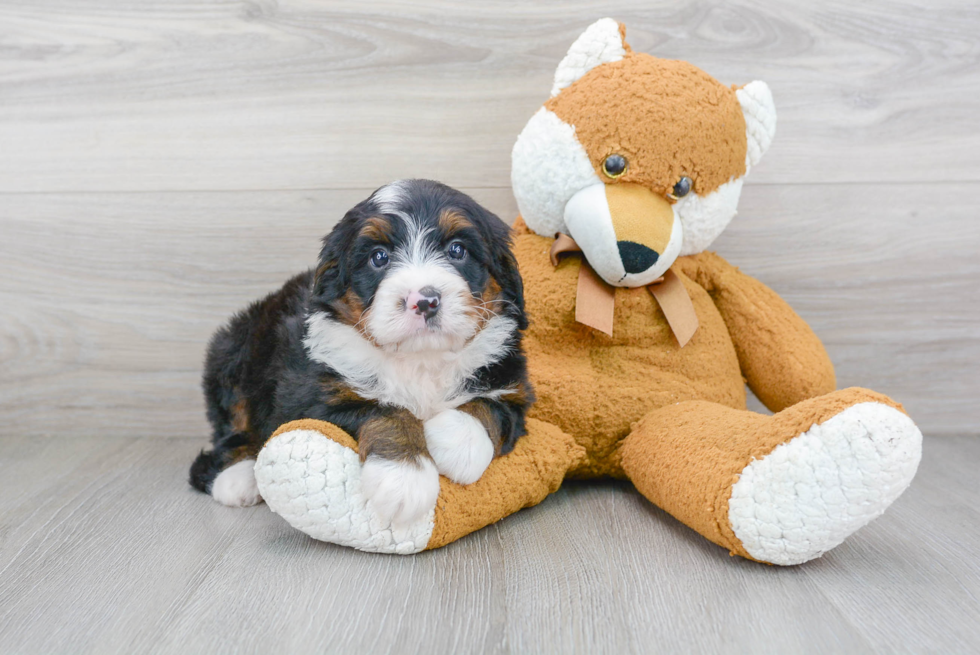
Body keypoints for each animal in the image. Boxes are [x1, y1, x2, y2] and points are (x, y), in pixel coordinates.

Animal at [188, 179, 532, 528]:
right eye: (378, 257)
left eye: (457, 250)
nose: (425, 301)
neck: (420, 358)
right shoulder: (310, 399)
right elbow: (383, 411)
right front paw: (404, 479)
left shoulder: (512, 383)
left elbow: (491, 407)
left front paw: (457, 444)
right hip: (234, 353)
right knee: (230, 435)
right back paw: (237, 479)